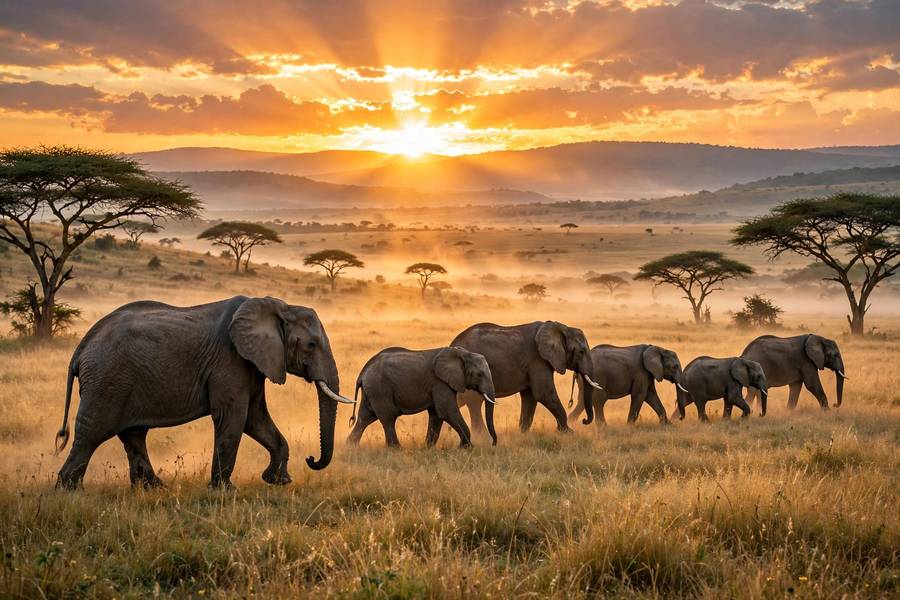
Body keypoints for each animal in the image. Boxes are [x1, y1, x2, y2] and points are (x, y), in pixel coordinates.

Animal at [54, 296, 354, 490]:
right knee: (91, 433)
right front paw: (225, 491)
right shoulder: (229, 360)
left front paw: (278, 481)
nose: (311, 459)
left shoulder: (253, 363)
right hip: (107, 381)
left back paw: (155, 488)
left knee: (134, 434)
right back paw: (69, 491)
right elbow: (234, 417)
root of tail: (81, 349)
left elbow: (255, 419)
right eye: (311, 345)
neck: (279, 307)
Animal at [347, 346, 497, 448]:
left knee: (365, 418)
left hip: (372, 391)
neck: (462, 353)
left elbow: (437, 414)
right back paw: (397, 450)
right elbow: (446, 411)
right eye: (479, 375)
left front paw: (428, 448)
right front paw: (466, 448)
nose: (493, 444)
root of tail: (363, 372)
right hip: (379, 389)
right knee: (388, 418)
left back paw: (351, 448)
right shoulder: (440, 382)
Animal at [451, 321, 601, 434]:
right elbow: (544, 394)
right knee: (474, 403)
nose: (584, 421)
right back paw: (480, 437)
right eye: (581, 352)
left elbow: (530, 397)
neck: (560, 327)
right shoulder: (537, 360)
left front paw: (523, 434)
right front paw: (568, 433)